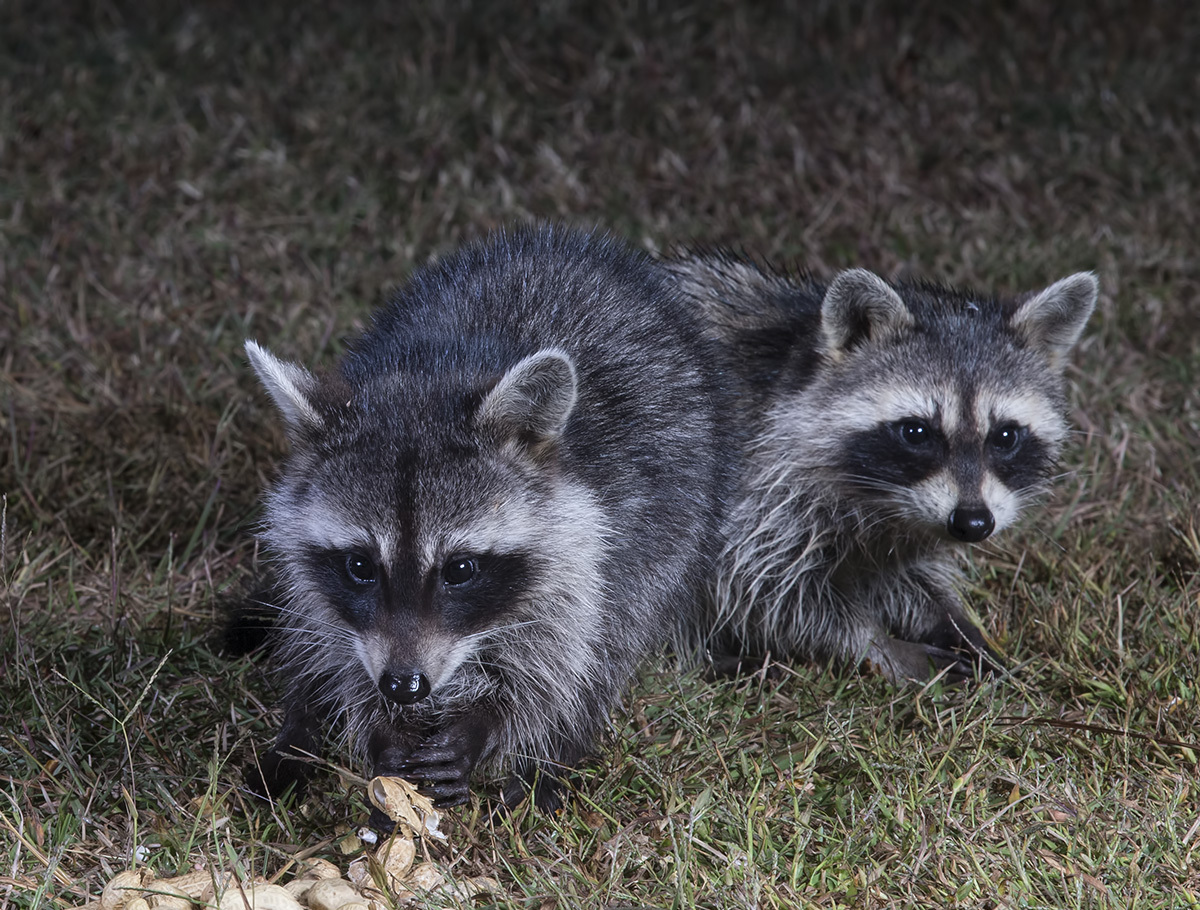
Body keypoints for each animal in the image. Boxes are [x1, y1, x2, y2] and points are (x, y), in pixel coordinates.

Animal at [241, 226, 729, 811]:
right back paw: (297, 732)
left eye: (460, 569)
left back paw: (552, 761)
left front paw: (489, 726)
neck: (432, 376)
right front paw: (374, 726)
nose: (403, 687)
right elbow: (334, 642)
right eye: (360, 565)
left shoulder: (593, 543)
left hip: (678, 517)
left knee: (615, 640)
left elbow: (562, 659)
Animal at [667, 253, 1099, 686]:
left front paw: (953, 621)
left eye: (1006, 436)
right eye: (916, 432)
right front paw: (876, 643)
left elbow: (898, 576)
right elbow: (758, 586)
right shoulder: (745, 485)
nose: (973, 523)